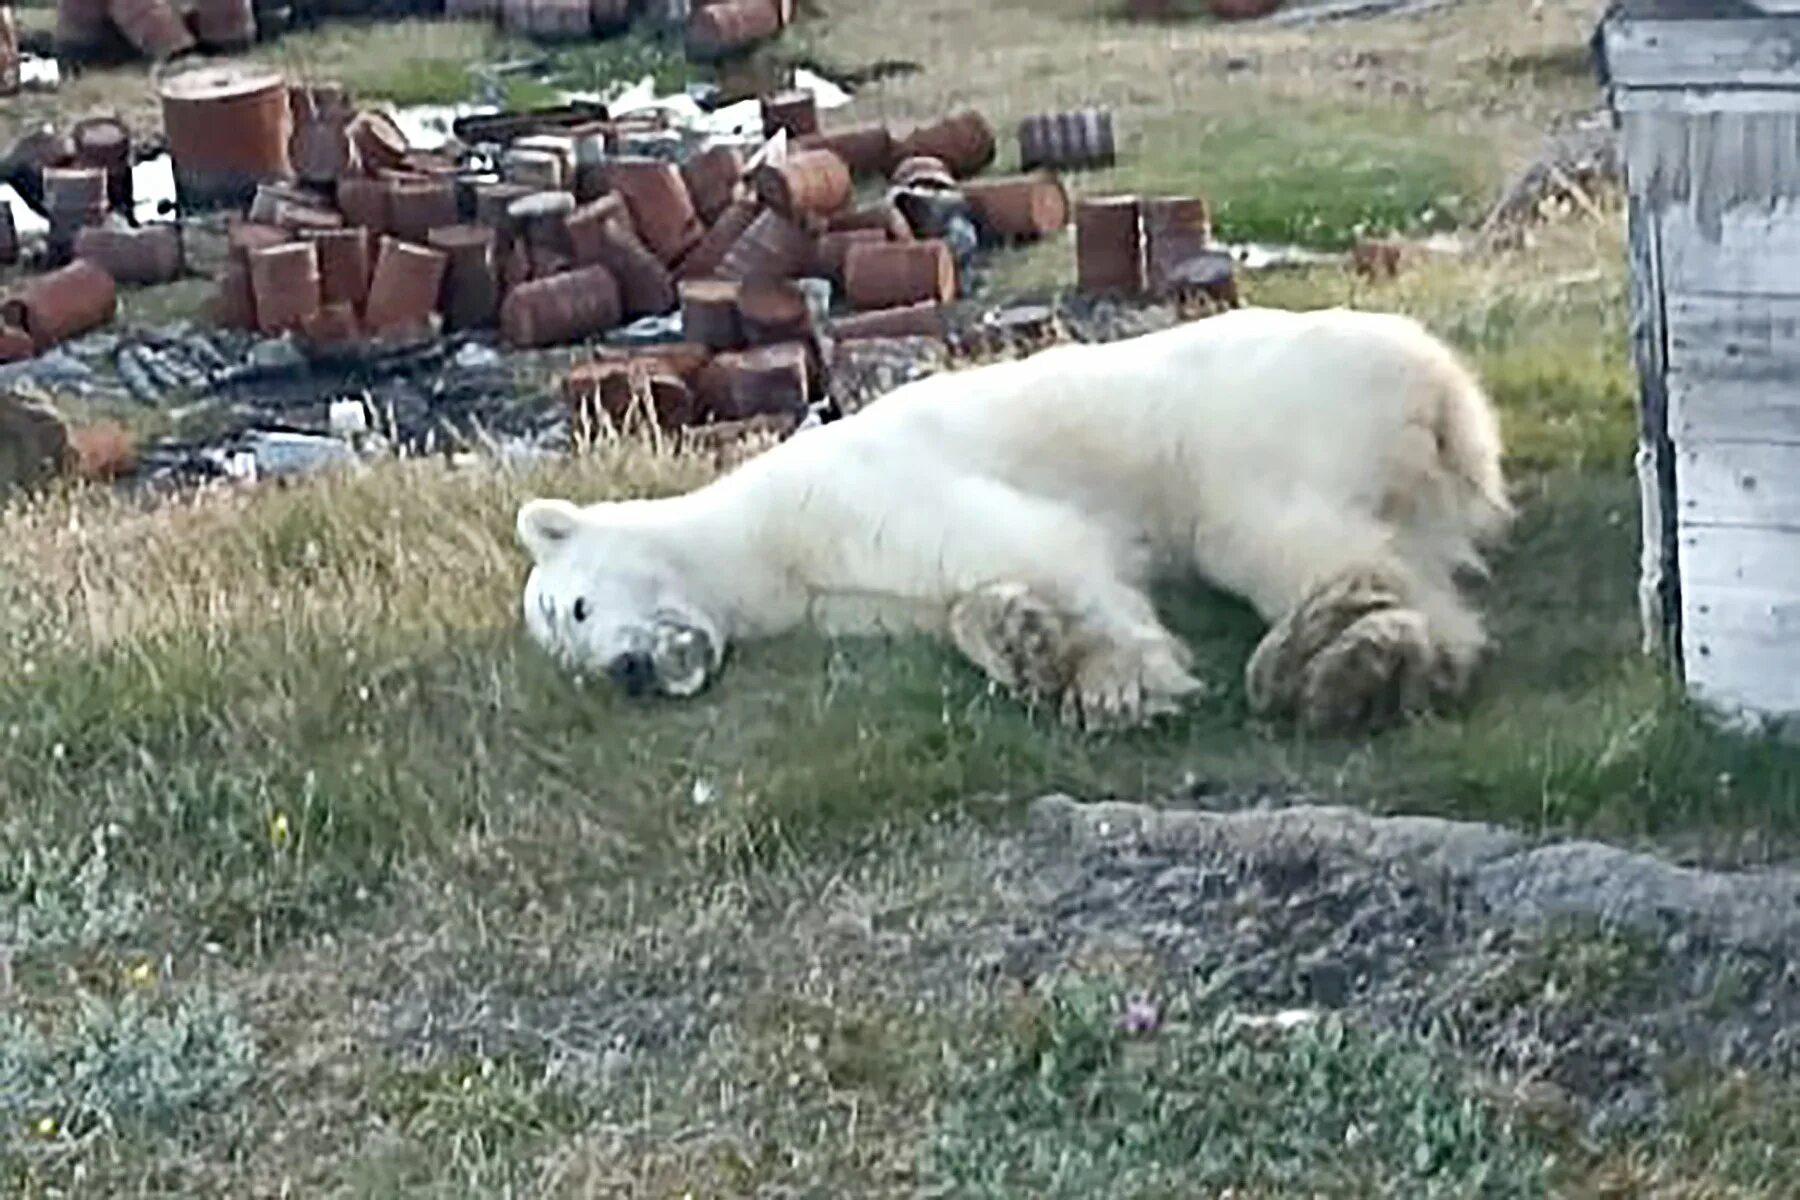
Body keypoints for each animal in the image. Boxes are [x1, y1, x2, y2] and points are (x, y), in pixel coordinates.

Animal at [514, 307, 1512, 734]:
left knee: (1276, 532)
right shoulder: (844, 595)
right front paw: (1022, 640)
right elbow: (955, 602)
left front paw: (1119, 683)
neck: (756, 538)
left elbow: (1032, 541)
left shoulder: (851, 493)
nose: (630, 672)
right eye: (572, 659)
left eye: (576, 608)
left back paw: (1336, 663)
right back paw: (1378, 665)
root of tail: (1440, 382)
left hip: (1271, 418)